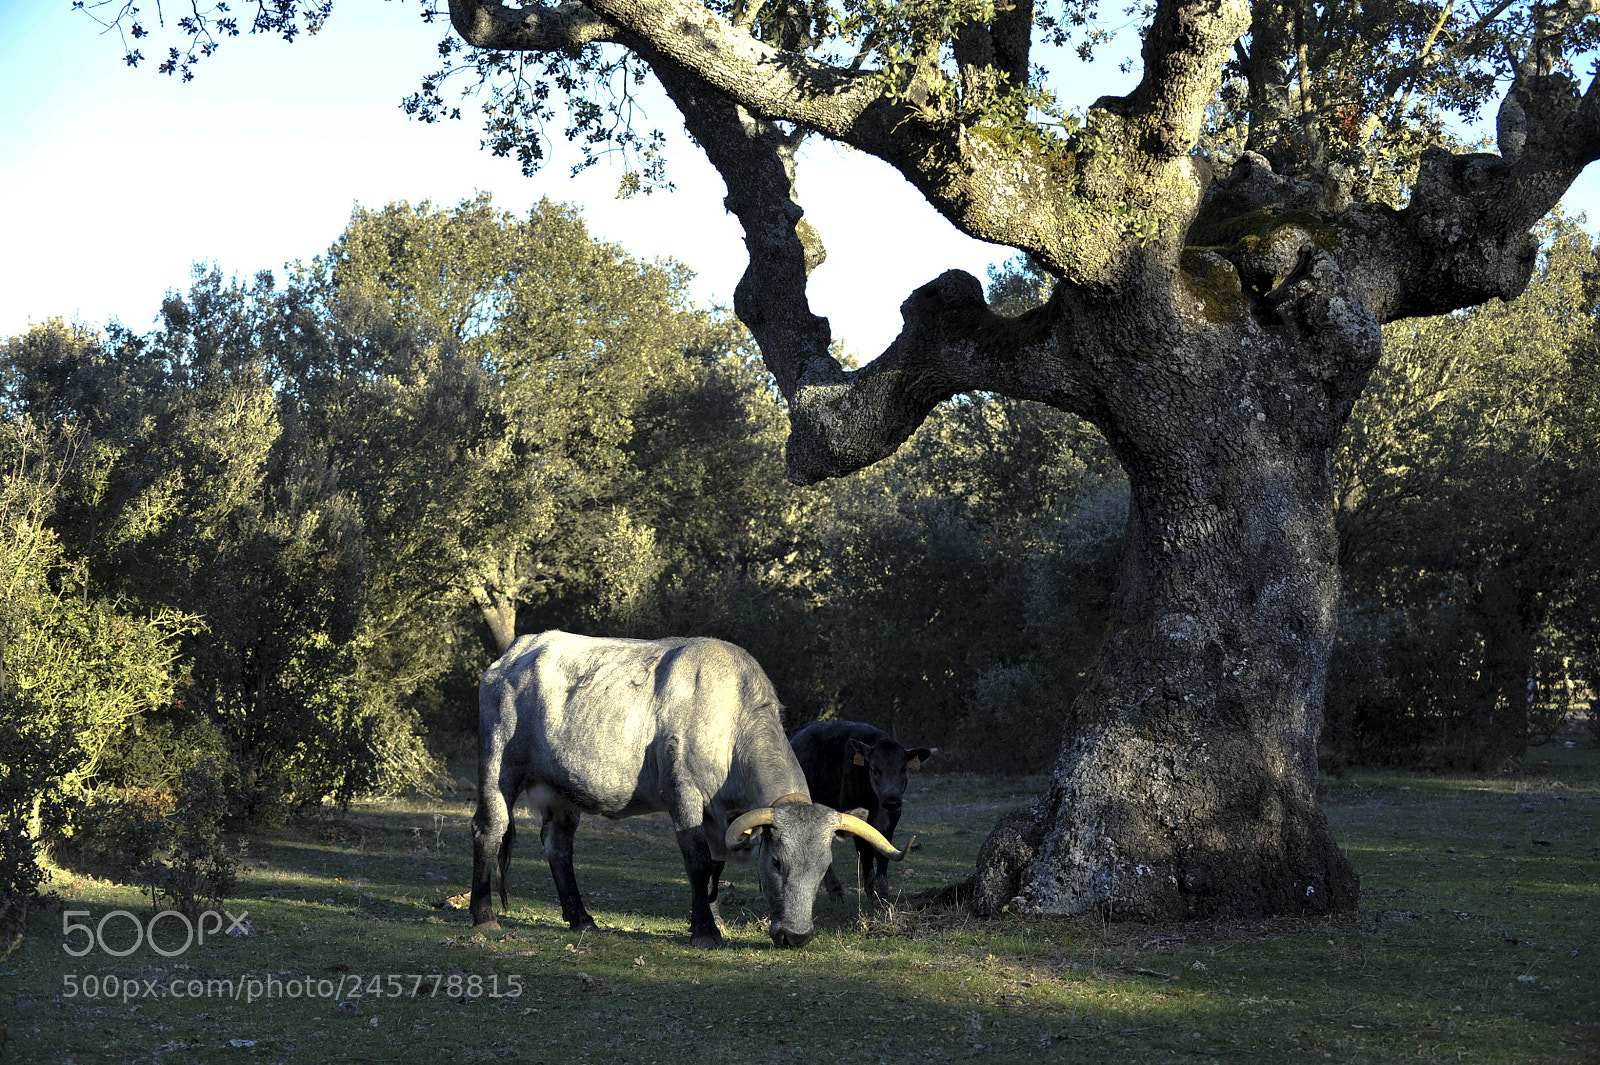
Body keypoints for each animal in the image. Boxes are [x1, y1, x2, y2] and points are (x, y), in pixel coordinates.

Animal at [469, 631, 909, 948]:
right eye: (777, 862)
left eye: (822, 869)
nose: (796, 936)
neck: (731, 725)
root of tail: (511, 656)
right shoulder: (685, 796)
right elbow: (697, 861)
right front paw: (705, 931)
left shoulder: (721, 816)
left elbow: (715, 864)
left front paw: (714, 920)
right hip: (499, 766)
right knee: (489, 829)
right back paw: (483, 915)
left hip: (561, 792)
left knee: (558, 846)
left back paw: (581, 919)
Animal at [789, 721, 934, 902]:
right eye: (874, 770)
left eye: (904, 770)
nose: (891, 800)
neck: (875, 802)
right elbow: (865, 852)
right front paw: (872, 892)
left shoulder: (893, 815)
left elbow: (884, 849)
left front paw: (883, 892)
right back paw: (835, 890)